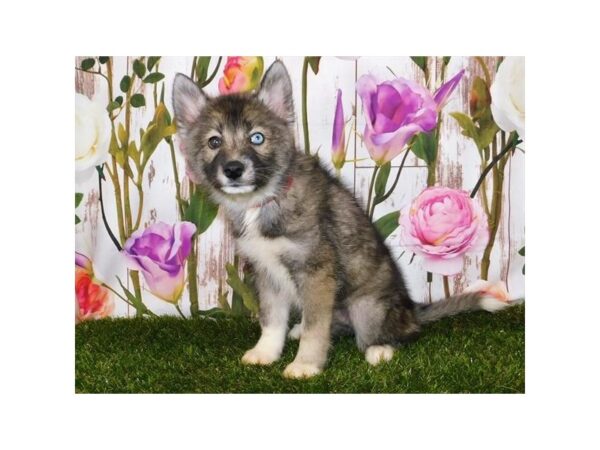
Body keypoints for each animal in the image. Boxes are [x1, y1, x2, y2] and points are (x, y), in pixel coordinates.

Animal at [171, 59, 508, 376]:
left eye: (257, 138)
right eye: (214, 142)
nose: (233, 170)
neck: (265, 201)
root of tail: (412, 310)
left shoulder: (317, 273)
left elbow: (315, 328)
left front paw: (306, 364)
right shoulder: (266, 273)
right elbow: (272, 320)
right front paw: (266, 352)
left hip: (367, 306)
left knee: (397, 333)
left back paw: (380, 349)